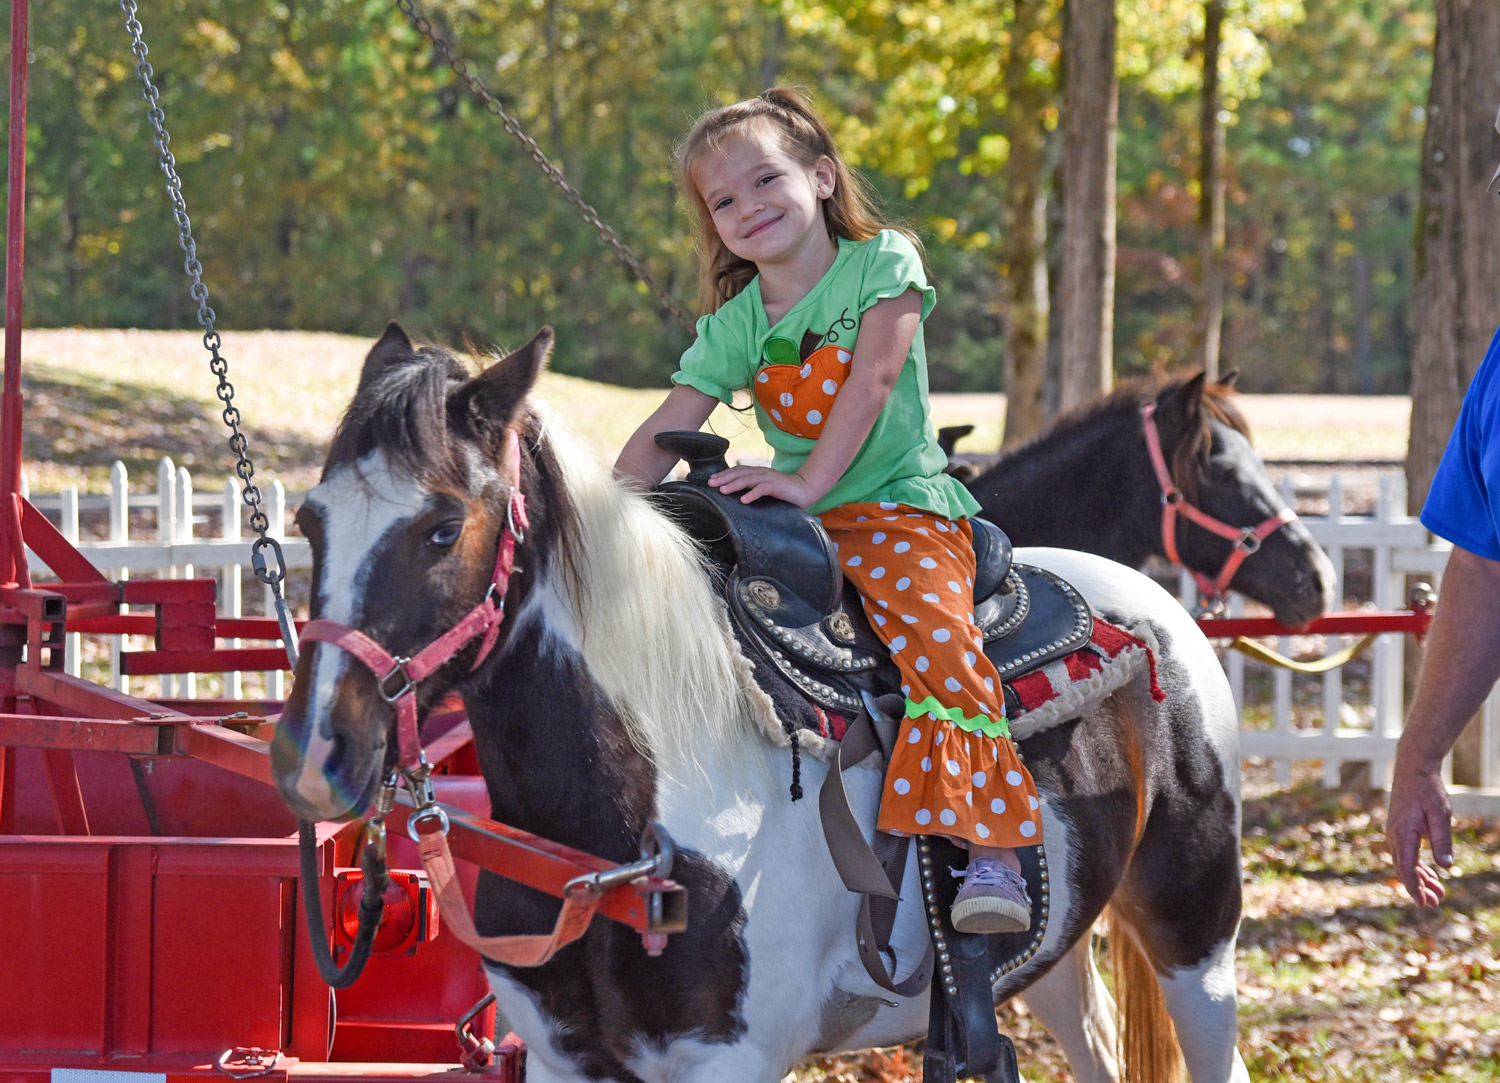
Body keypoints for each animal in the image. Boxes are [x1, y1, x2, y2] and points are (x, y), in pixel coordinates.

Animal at [273, 327, 1254, 1080]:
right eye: (308, 521)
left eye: (443, 527)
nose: (315, 753)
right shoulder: (564, 1059)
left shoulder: (729, 1059)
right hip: (1057, 952)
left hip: (1196, 933)